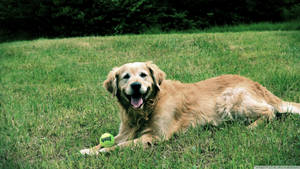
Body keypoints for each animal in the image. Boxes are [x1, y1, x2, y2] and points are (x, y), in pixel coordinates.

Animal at [80, 61, 300, 154]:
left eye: (143, 75)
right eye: (126, 76)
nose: (136, 86)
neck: (147, 108)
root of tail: (256, 84)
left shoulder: (156, 136)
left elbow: (121, 146)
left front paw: (98, 153)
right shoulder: (126, 131)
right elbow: (109, 141)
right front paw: (89, 149)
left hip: (229, 100)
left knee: (270, 112)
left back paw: (252, 127)